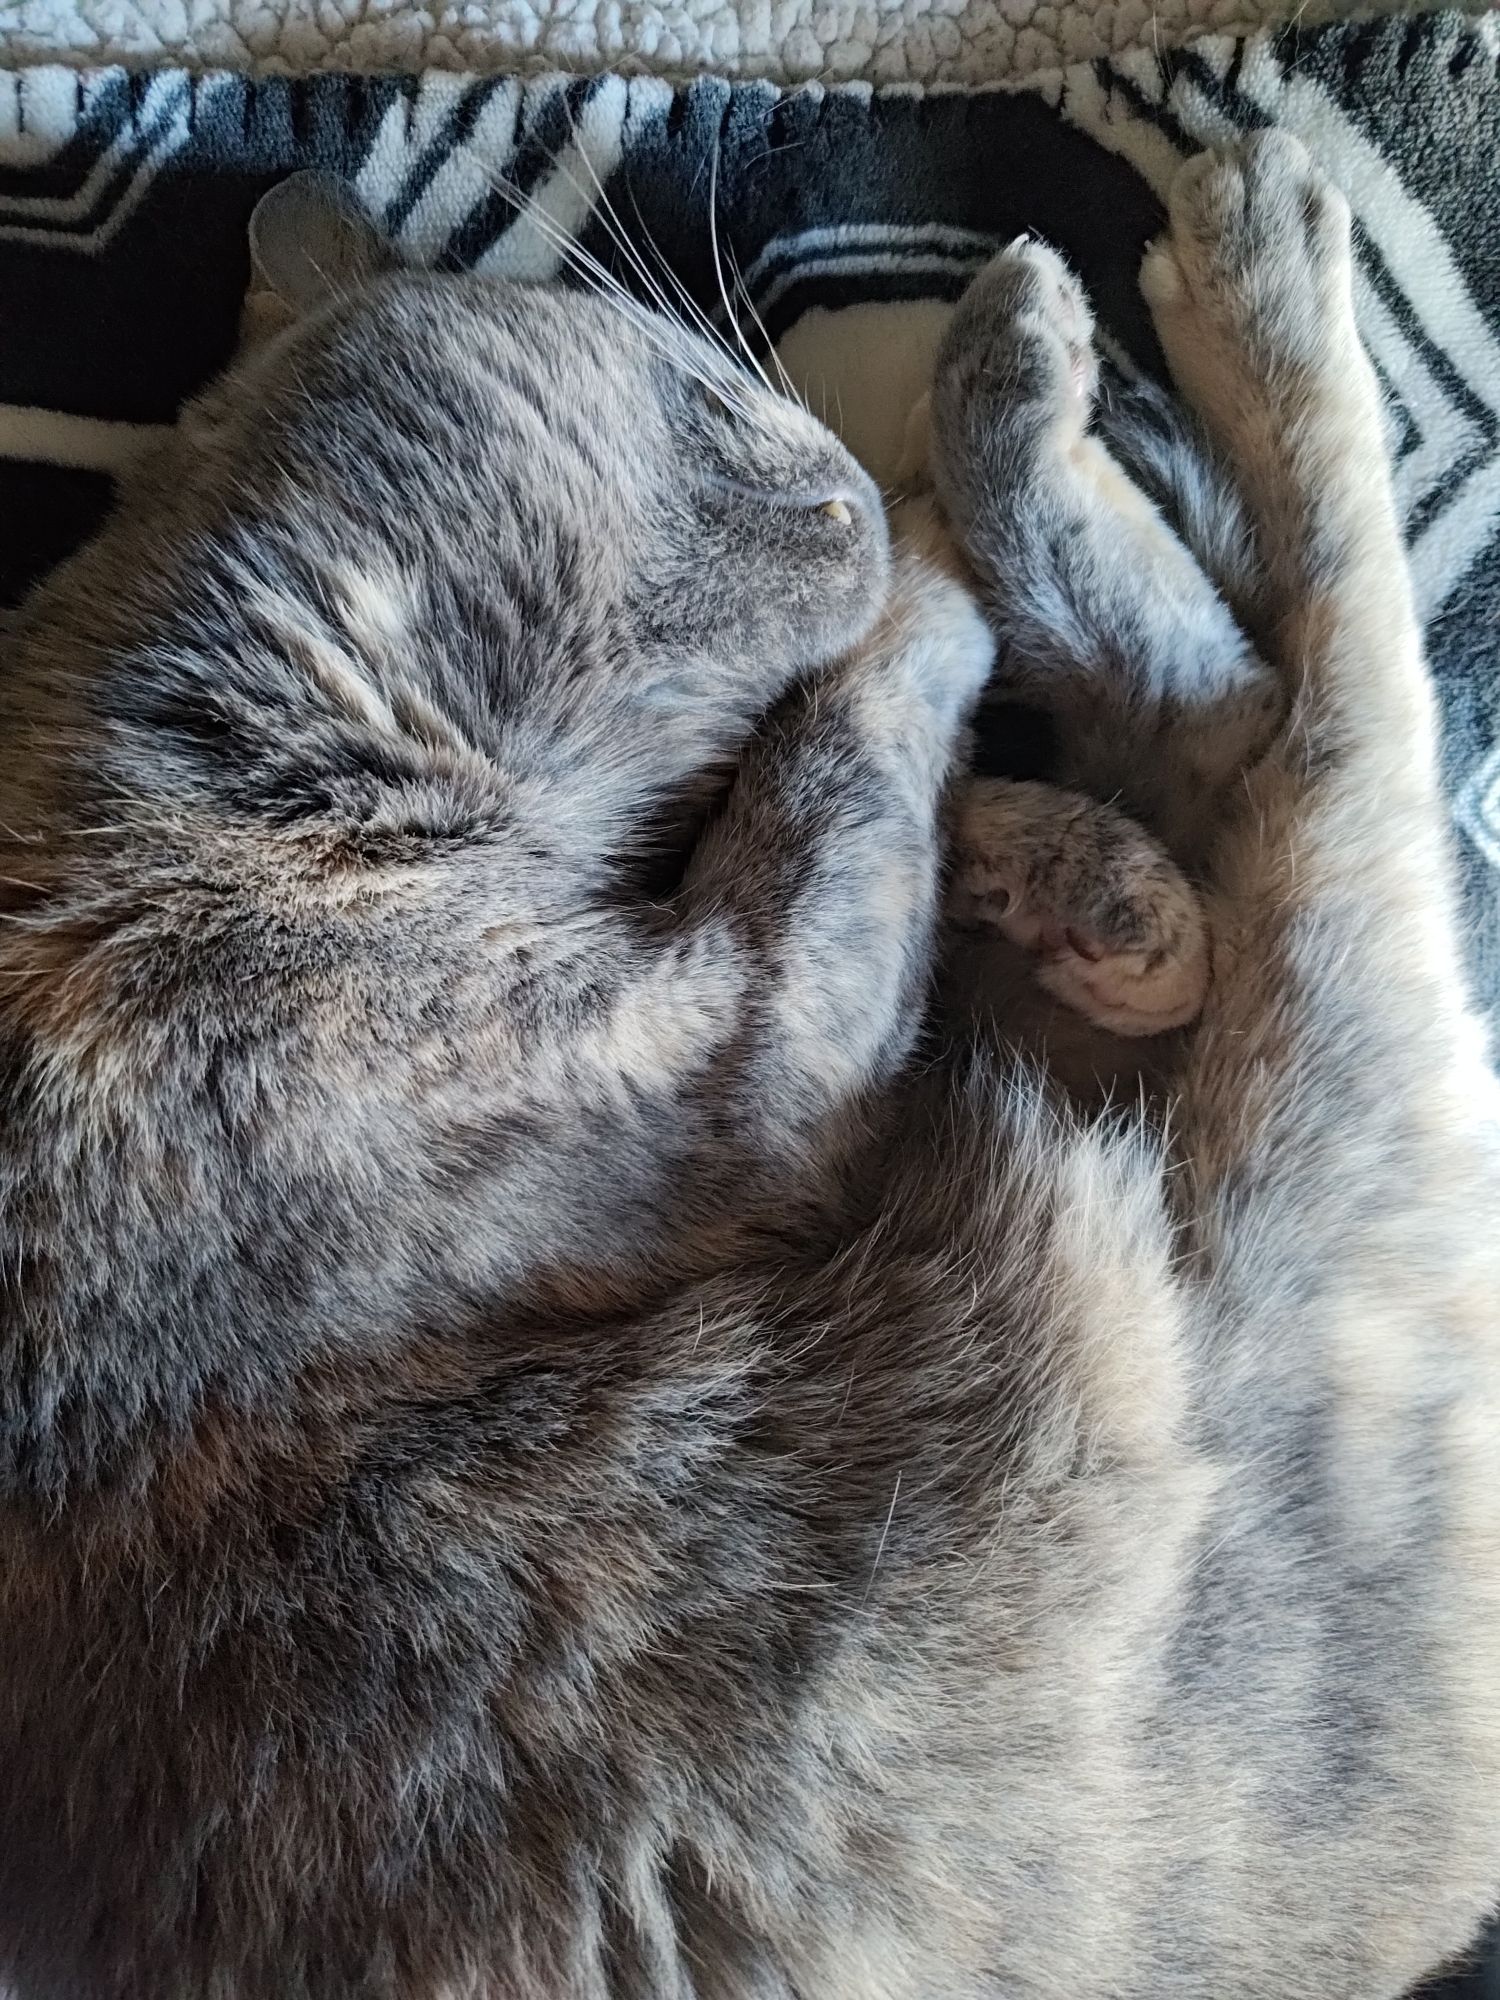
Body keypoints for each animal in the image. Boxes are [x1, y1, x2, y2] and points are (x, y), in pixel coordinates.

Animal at [2, 133, 1500, 1992]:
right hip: (1311, 1187)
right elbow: (856, 733)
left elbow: (876, 781)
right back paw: (1175, 290)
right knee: (1322, 707)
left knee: (1233, 725)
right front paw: (942, 577)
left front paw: (1063, 869)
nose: (846, 475)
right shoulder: (751, 1021)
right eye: (716, 408)